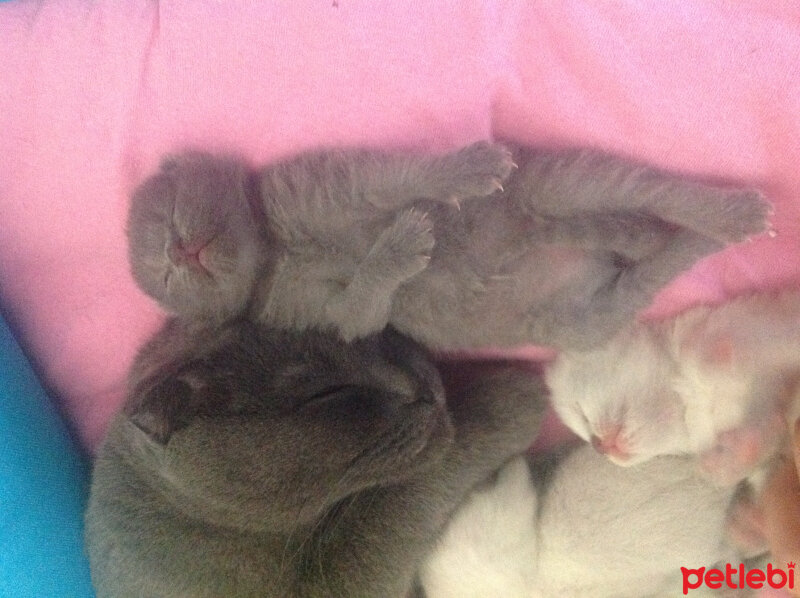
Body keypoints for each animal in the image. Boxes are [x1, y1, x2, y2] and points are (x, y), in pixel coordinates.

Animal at [87, 322, 552, 596]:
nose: (423, 386)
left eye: (369, 334)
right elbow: (400, 498)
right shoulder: (334, 583)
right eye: (325, 394)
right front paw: (512, 397)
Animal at [128, 142, 772, 352]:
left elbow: (399, 179)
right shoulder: (320, 314)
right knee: (644, 271)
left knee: (656, 190)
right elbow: (361, 309)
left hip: (559, 184)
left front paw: (462, 170)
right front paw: (403, 245)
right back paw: (681, 243)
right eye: (162, 275)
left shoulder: (332, 179)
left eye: (166, 217)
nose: (180, 252)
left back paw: (729, 214)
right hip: (576, 322)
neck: (274, 248)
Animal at [548, 290, 800, 488]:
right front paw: (718, 464)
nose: (599, 447)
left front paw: (708, 354)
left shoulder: (765, 325)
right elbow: (765, 440)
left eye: (580, 411)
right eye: (582, 422)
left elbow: (709, 348)